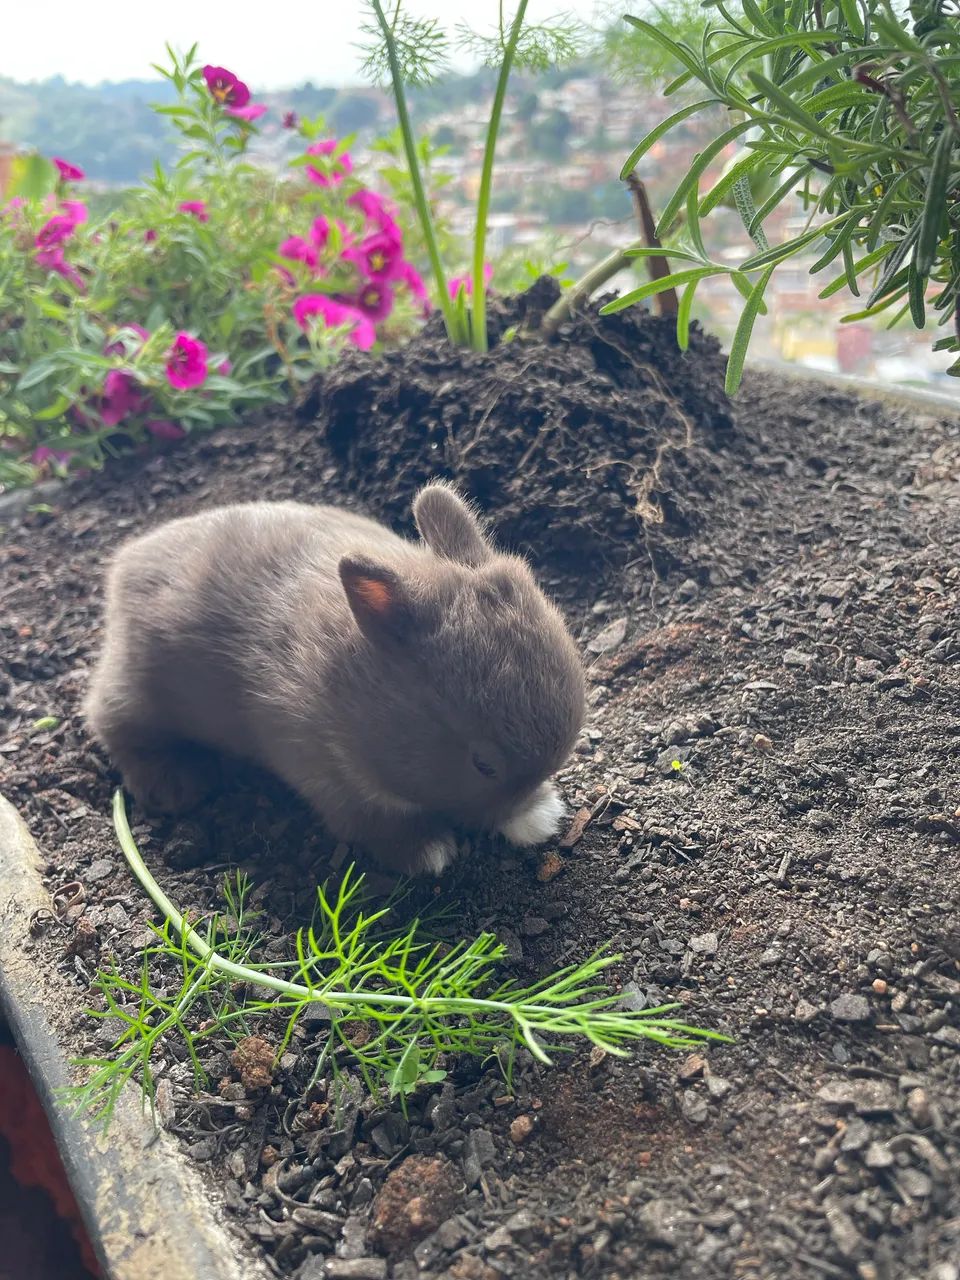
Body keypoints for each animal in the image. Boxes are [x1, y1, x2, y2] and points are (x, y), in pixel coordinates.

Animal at [84, 481, 586, 876]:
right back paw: (174, 784)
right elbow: (375, 823)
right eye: (483, 764)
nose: (526, 804)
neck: (358, 691)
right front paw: (430, 851)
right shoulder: (336, 783)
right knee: (111, 722)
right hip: (137, 689)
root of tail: (126, 564)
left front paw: (538, 816)